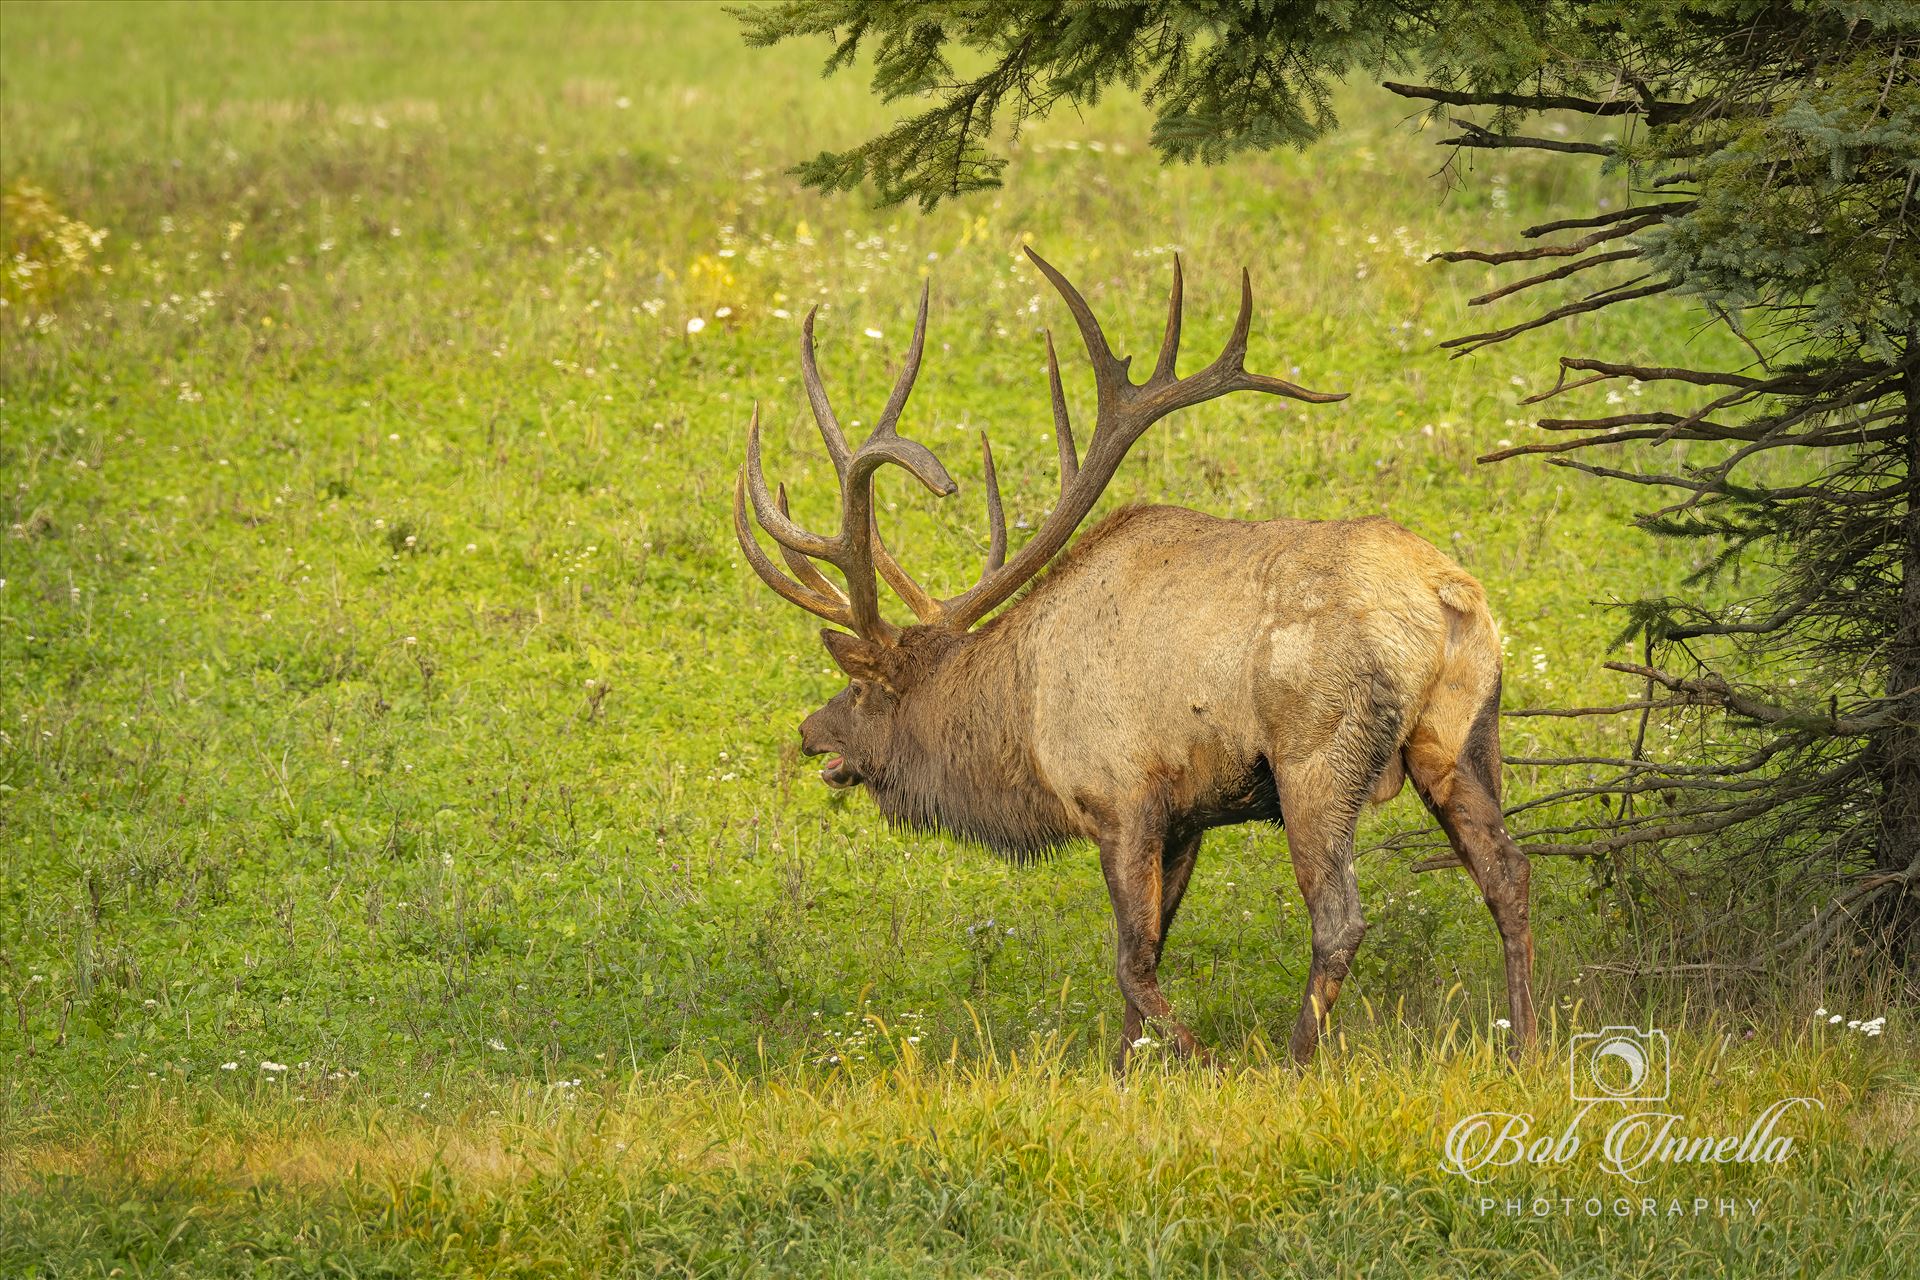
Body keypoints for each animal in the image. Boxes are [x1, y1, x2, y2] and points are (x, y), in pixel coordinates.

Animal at [725, 245, 1536, 1066]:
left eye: (857, 689)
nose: (809, 730)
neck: (1019, 722)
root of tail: (1448, 597)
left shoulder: (1123, 799)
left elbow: (1130, 959)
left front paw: (1198, 1059)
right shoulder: (1187, 816)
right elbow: (1147, 954)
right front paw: (1127, 1068)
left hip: (1319, 754)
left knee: (1340, 918)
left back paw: (1293, 1062)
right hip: (1463, 737)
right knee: (1508, 871)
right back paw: (1526, 1043)